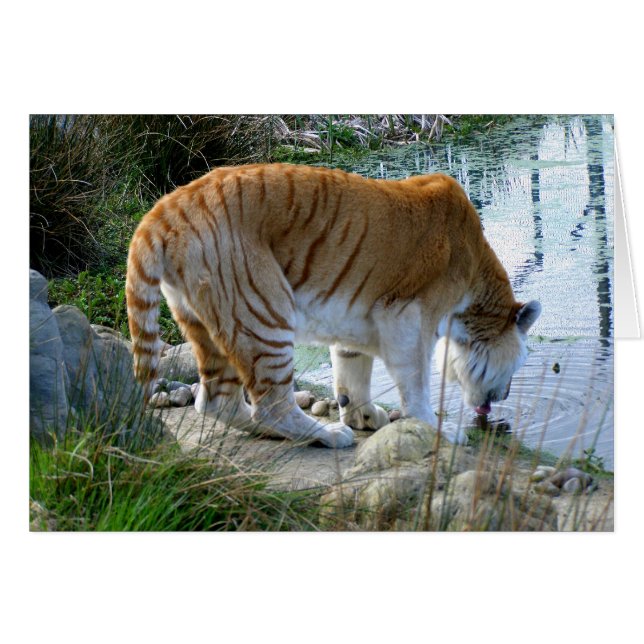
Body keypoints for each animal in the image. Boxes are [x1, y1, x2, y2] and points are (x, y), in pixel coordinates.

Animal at [126, 163, 541, 448]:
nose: (503, 397)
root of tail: (166, 208)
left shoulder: (357, 322)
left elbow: (351, 374)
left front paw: (364, 416)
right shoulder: (409, 318)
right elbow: (416, 381)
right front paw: (437, 427)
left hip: (206, 321)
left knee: (217, 402)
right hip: (263, 312)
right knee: (270, 403)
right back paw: (326, 435)